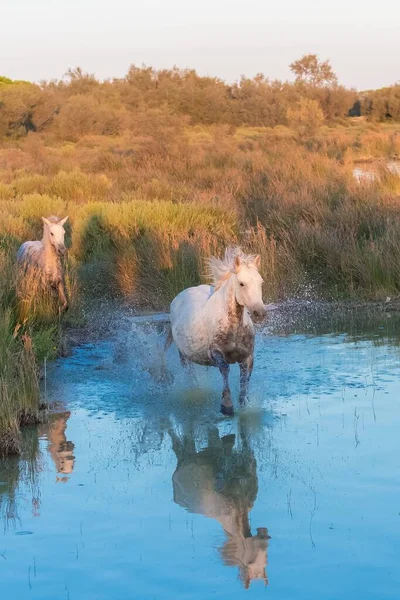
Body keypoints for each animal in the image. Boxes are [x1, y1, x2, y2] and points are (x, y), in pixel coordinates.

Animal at [168, 246, 266, 414]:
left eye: (260, 282)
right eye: (242, 283)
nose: (259, 313)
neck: (233, 328)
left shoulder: (247, 357)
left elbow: (244, 381)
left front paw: (244, 404)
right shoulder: (216, 353)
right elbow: (225, 370)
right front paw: (226, 406)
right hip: (183, 356)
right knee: (190, 374)